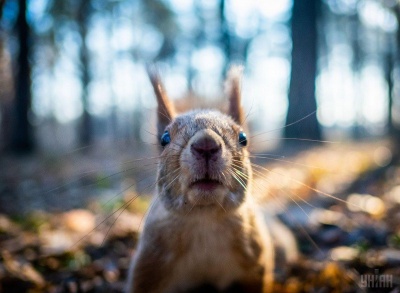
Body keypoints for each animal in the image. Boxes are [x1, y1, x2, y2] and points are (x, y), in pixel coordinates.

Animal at [126, 66, 296, 292]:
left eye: (243, 138)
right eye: (165, 138)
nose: (206, 144)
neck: (204, 221)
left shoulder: (256, 264)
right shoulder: (150, 267)